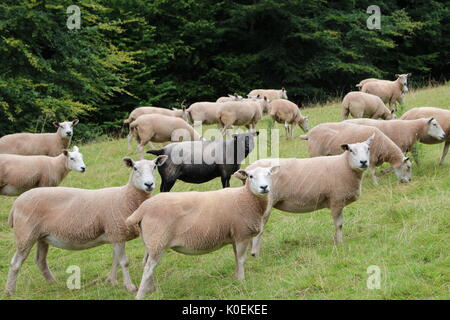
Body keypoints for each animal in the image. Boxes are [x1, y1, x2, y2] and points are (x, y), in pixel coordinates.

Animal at [5, 155, 168, 296]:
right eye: (135, 168)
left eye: (154, 166)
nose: (149, 184)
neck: (126, 197)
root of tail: (16, 204)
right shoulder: (116, 232)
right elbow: (124, 262)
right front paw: (130, 286)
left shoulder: (113, 235)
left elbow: (115, 260)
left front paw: (111, 281)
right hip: (25, 234)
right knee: (15, 263)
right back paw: (10, 291)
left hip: (42, 236)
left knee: (40, 261)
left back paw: (53, 283)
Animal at [125, 165, 280, 300]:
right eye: (250, 176)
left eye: (269, 174)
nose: (264, 187)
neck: (246, 197)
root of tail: (142, 209)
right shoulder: (242, 234)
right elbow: (241, 259)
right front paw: (242, 280)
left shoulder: (235, 236)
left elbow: (236, 258)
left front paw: (236, 278)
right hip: (159, 241)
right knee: (148, 269)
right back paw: (140, 295)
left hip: (151, 242)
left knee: (146, 265)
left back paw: (151, 290)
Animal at [244, 136, 374, 258]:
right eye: (351, 150)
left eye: (368, 148)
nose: (363, 162)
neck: (344, 165)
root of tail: (248, 169)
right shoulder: (336, 200)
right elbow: (339, 225)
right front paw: (340, 243)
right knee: (258, 232)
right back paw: (255, 255)